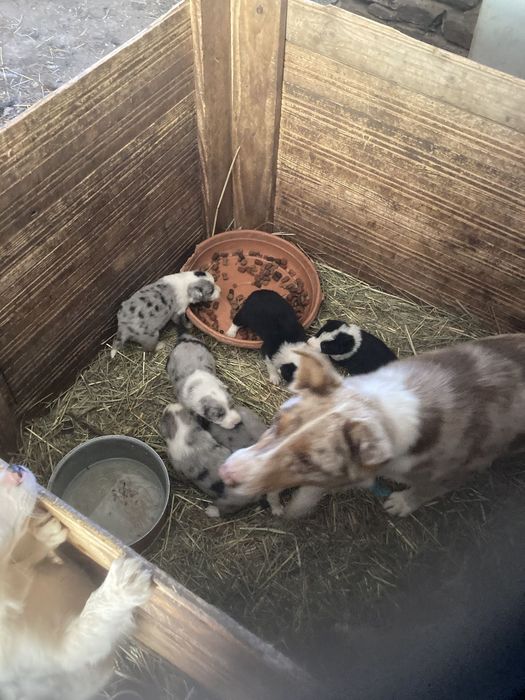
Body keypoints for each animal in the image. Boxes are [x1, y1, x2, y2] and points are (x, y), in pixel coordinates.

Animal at [219, 335, 525, 518]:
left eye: (309, 461)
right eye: (277, 420)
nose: (226, 473)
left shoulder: (455, 471)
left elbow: (425, 491)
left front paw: (398, 505)